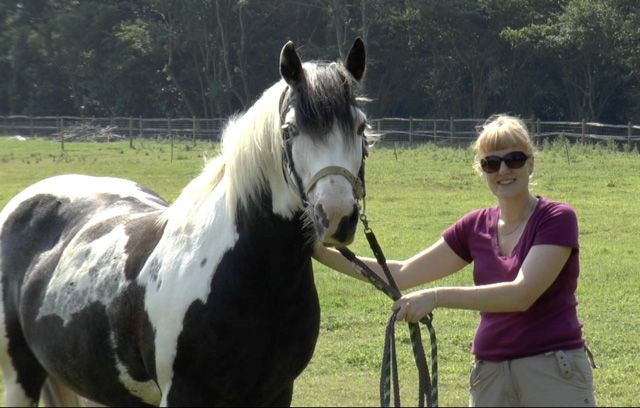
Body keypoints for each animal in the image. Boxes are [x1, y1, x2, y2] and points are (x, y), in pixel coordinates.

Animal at [0, 37, 370, 404]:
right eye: (290, 129)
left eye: (361, 127)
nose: (336, 215)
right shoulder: (183, 392)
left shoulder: (277, 392)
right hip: (21, 375)